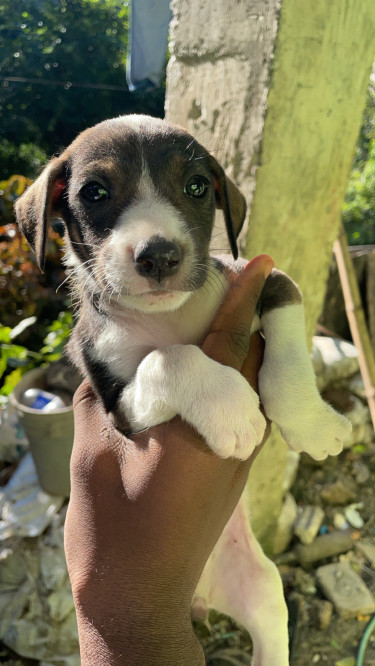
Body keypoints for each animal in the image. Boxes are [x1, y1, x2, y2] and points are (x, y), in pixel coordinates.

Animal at [16, 111, 352, 660]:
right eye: (94, 192)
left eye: (197, 186)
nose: (159, 255)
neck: (168, 316)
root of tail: (200, 597)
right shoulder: (119, 408)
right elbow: (165, 358)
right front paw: (232, 409)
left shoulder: (266, 278)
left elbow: (286, 341)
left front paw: (311, 423)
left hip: (265, 591)